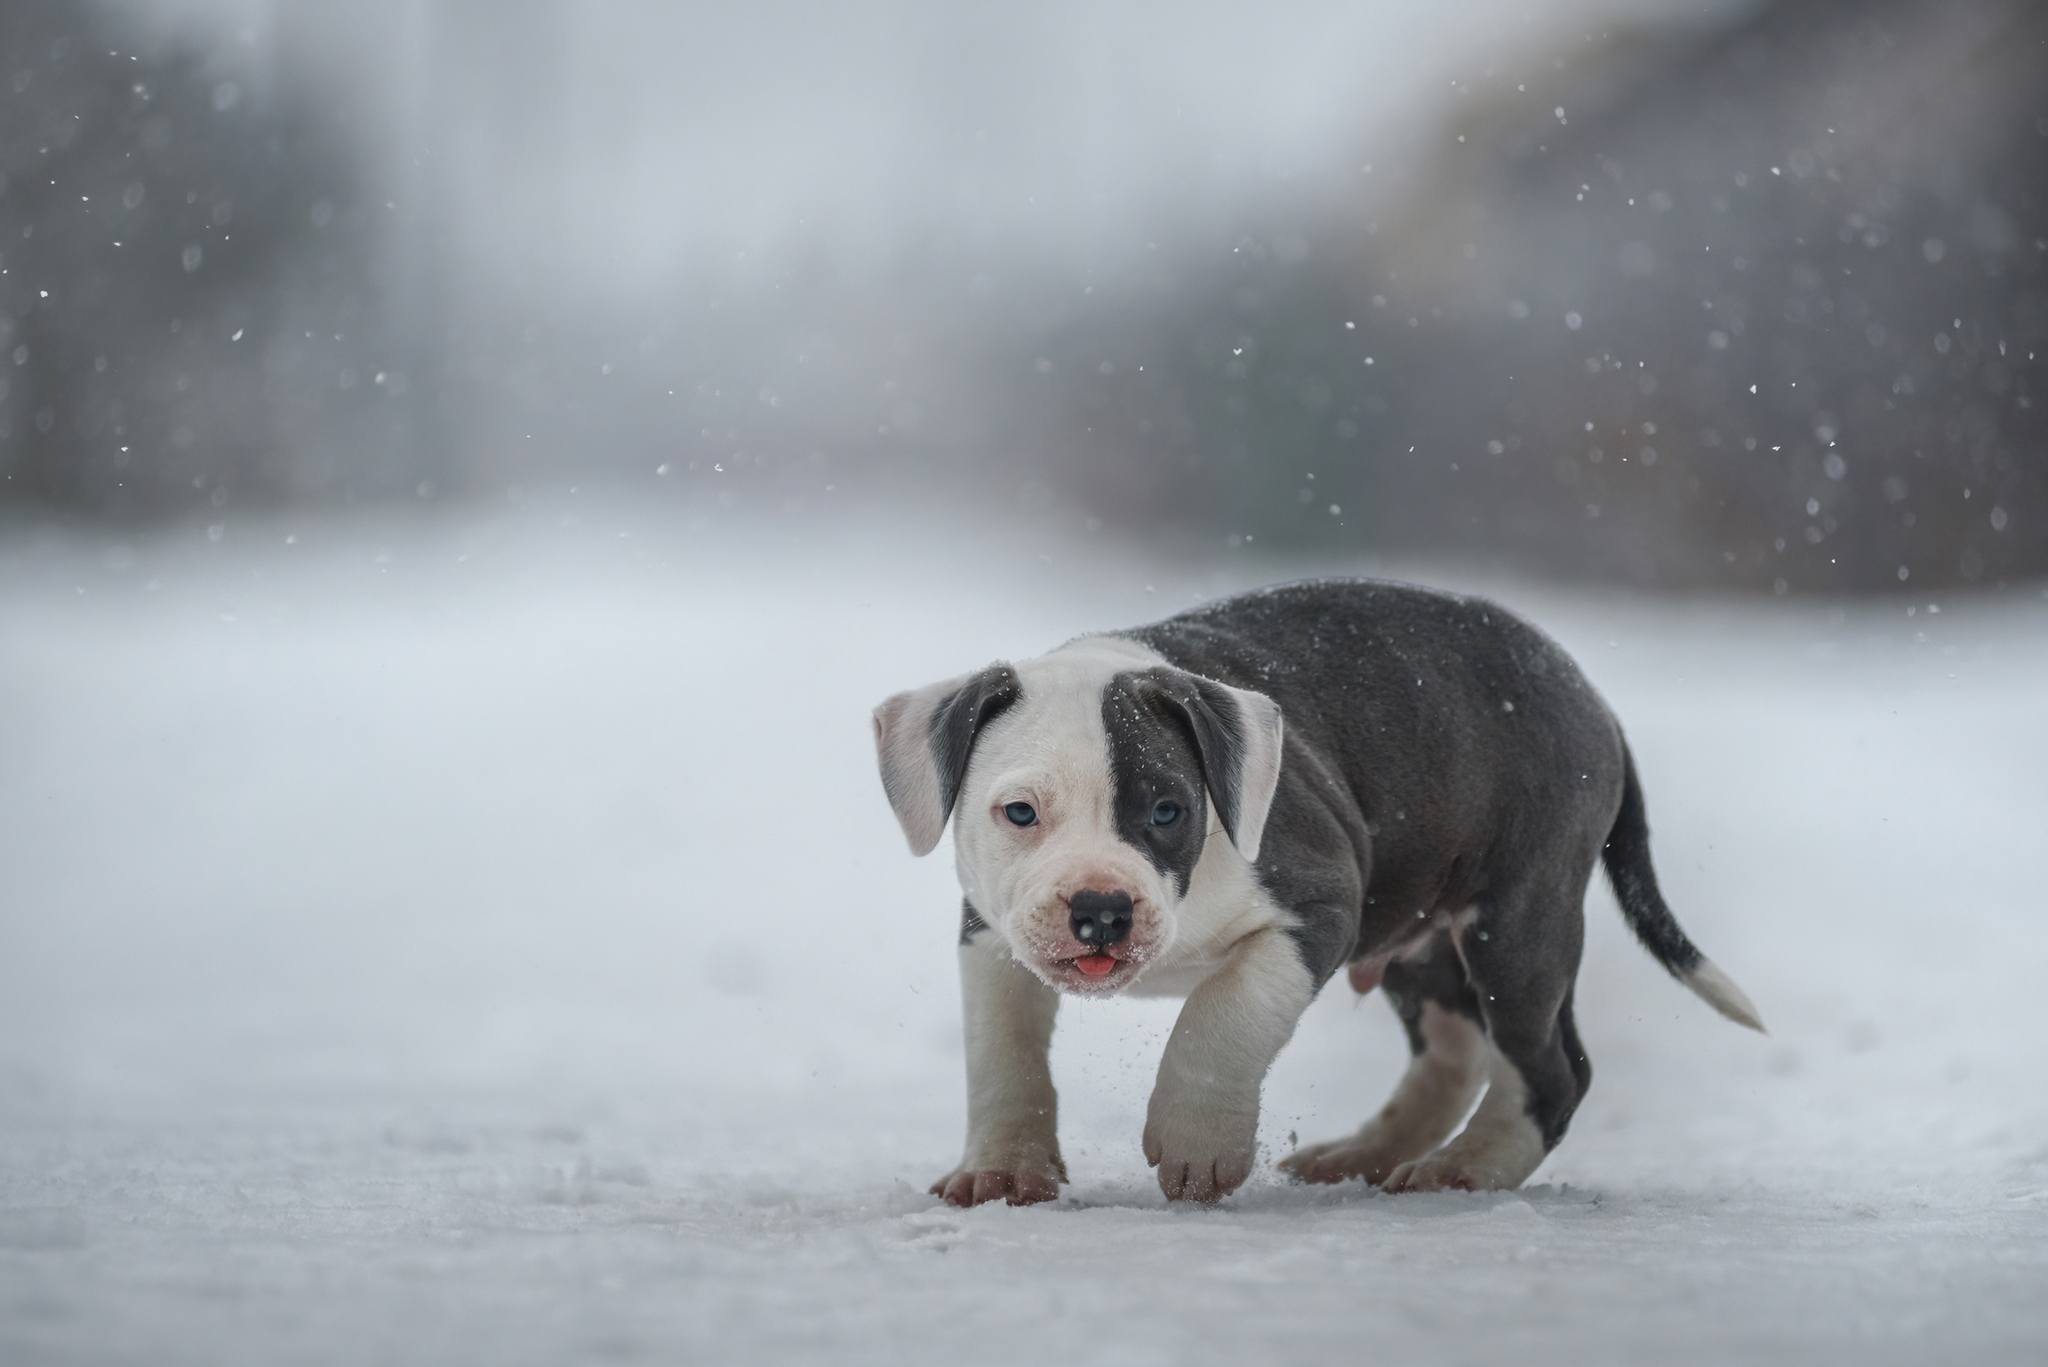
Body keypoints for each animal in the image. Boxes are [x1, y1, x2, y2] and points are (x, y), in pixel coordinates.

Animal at [872, 577, 1753, 1205]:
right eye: (1020, 812)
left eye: (1168, 811)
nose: (1100, 911)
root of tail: (1594, 700)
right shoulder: (990, 932)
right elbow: (1003, 1049)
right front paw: (1002, 1170)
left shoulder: (1318, 904)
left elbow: (1221, 1016)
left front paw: (1198, 1142)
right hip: (1422, 931)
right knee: (1456, 1046)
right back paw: (1365, 1153)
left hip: (1517, 917)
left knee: (1551, 1064)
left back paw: (1468, 1165)